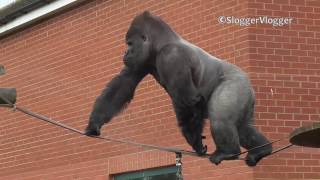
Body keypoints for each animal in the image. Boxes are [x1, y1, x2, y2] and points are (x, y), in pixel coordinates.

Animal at [85, 10, 272, 166]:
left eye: (130, 44)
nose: (125, 53)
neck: (161, 43)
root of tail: (248, 82)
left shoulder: (172, 56)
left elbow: (188, 100)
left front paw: (195, 142)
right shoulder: (142, 61)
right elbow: (122, 86)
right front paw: (94, 123)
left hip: (236, 84)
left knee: (221, 118)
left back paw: (228, 152)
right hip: (245, 94)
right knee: (243, 127)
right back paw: (262, 149)